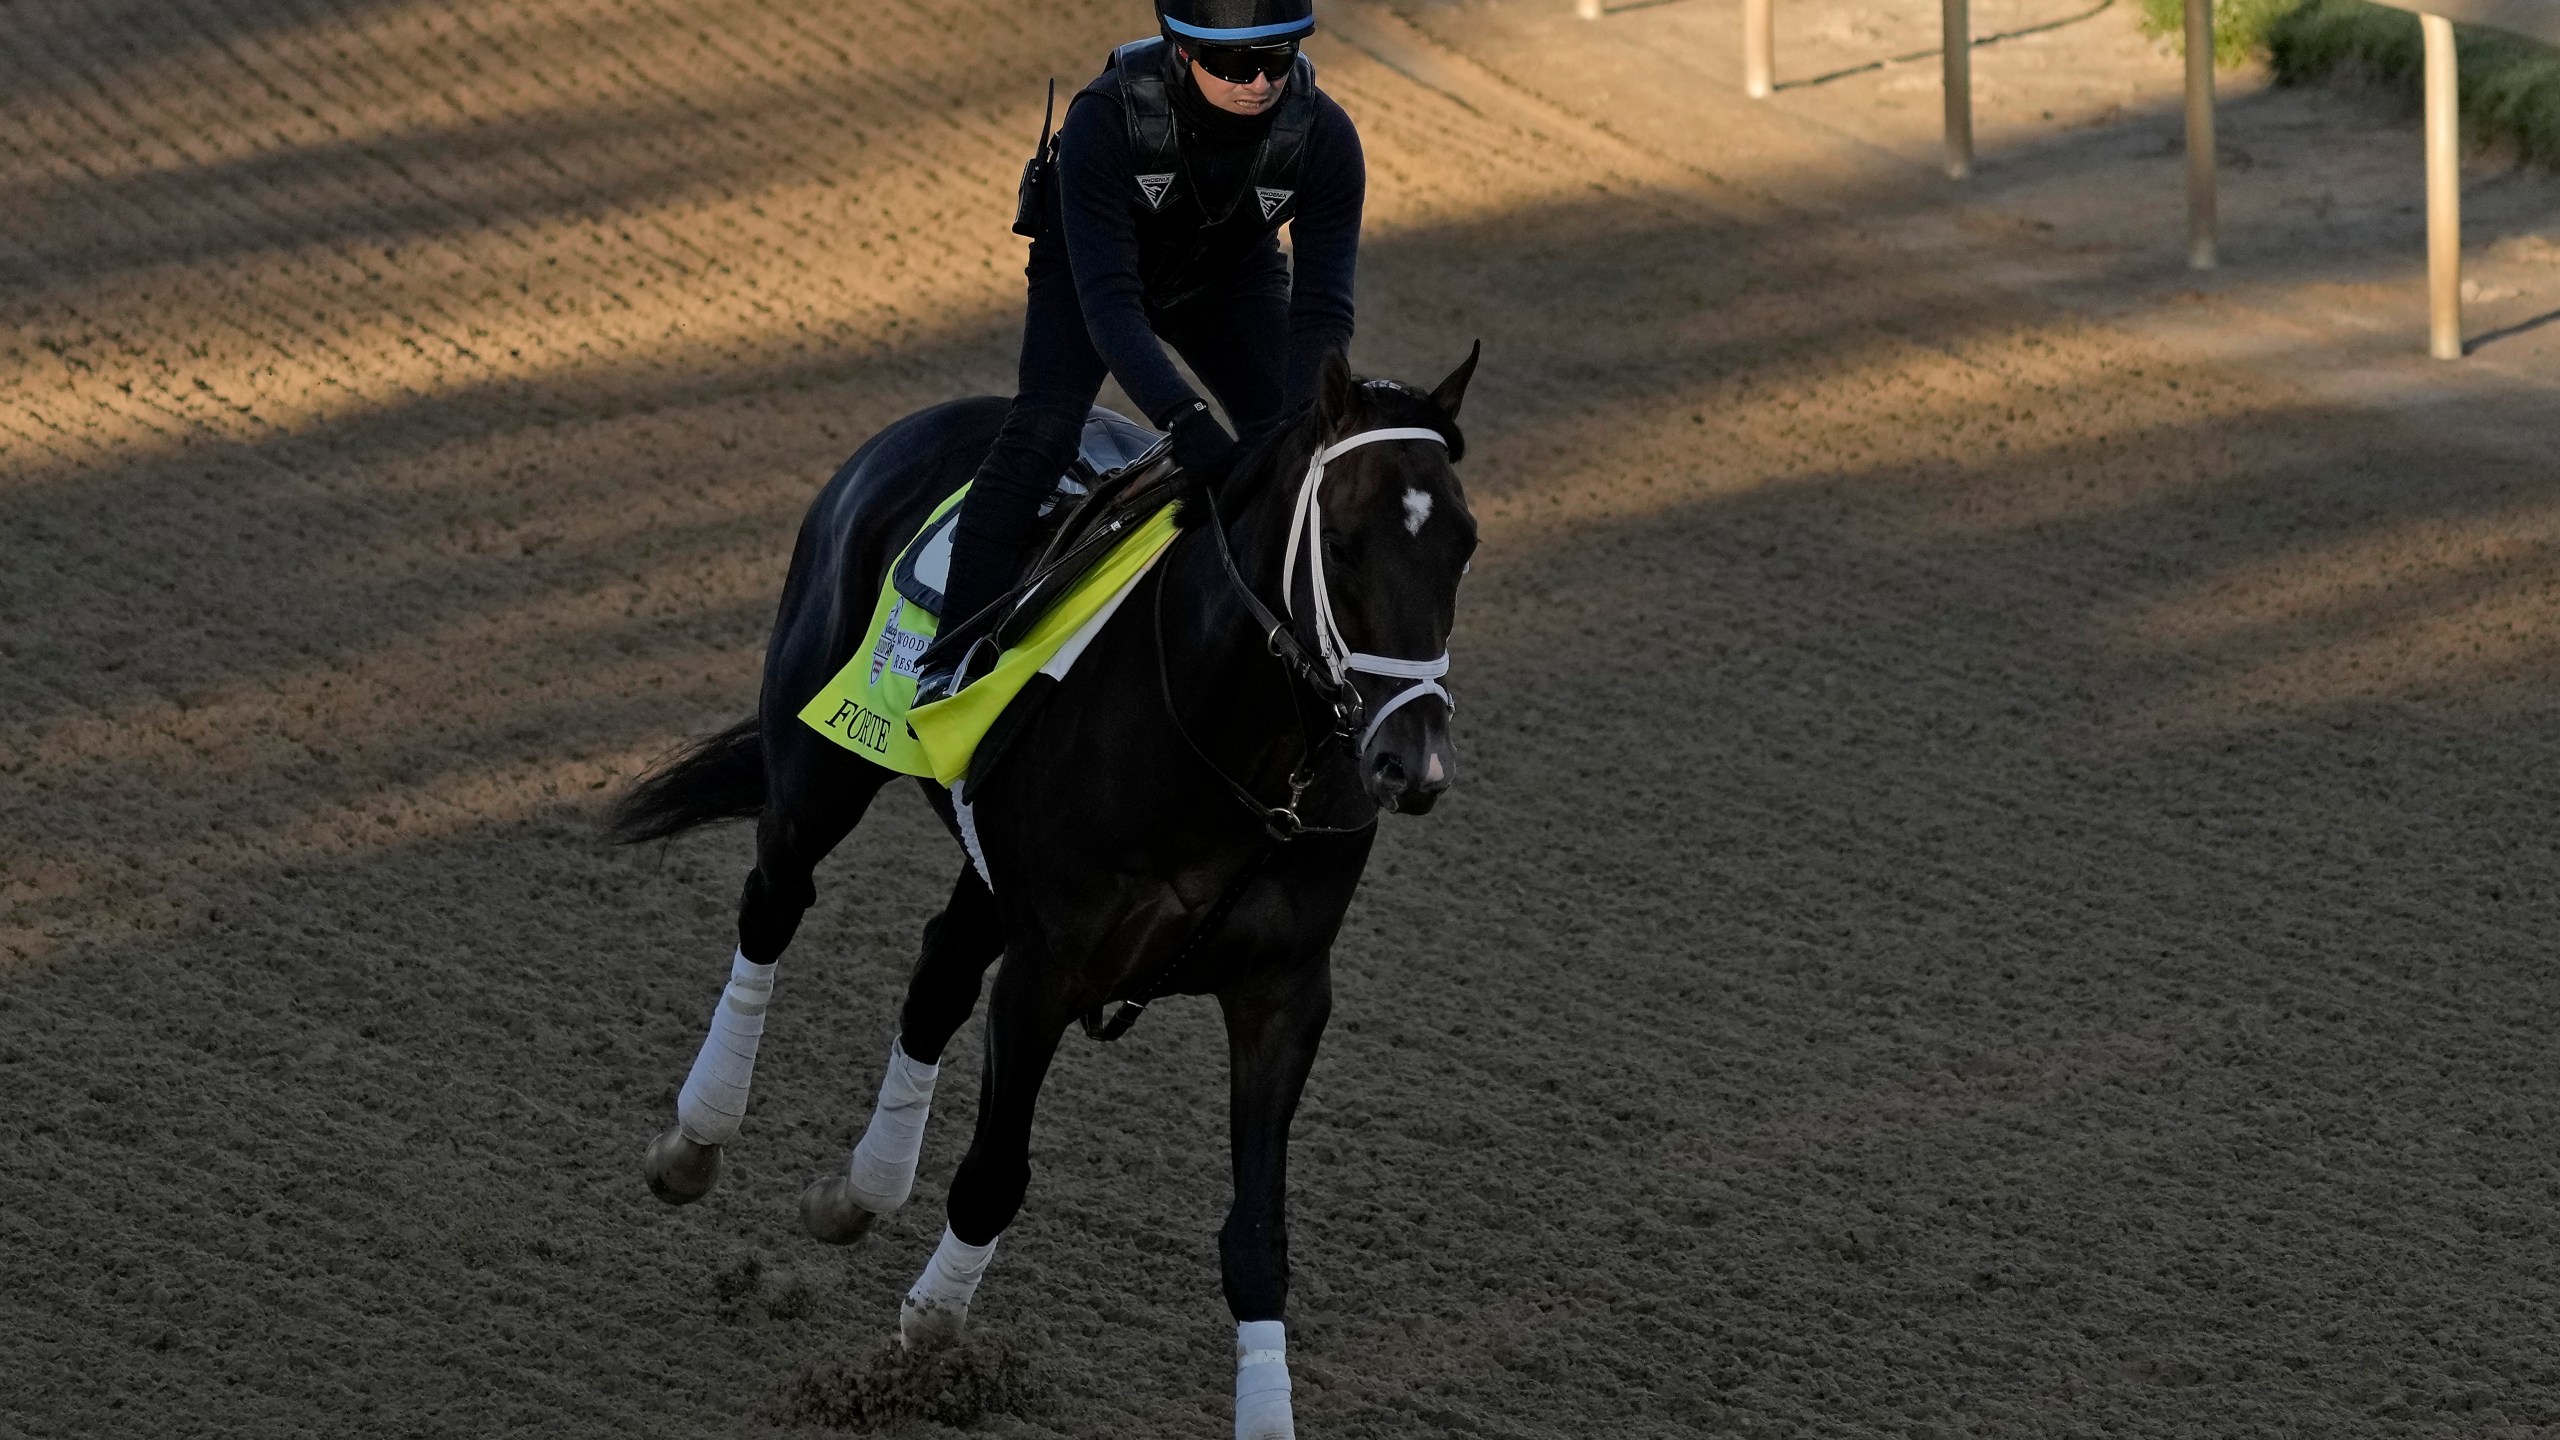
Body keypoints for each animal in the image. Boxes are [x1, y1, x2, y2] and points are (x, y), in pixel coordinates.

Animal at [604, 348, 1484, 1434]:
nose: (1414, 761)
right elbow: (993, 1177)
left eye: (1463, 547)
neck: (1235, 753)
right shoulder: (1050, 969)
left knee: (937, 968)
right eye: (1343, 544)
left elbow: (1256, 1237)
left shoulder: (1283, 993)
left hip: (990, 870)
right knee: (774, 902)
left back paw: (860, 1190)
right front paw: (933, 1330)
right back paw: (698, 1136)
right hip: (820, 762)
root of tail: (923, 423)